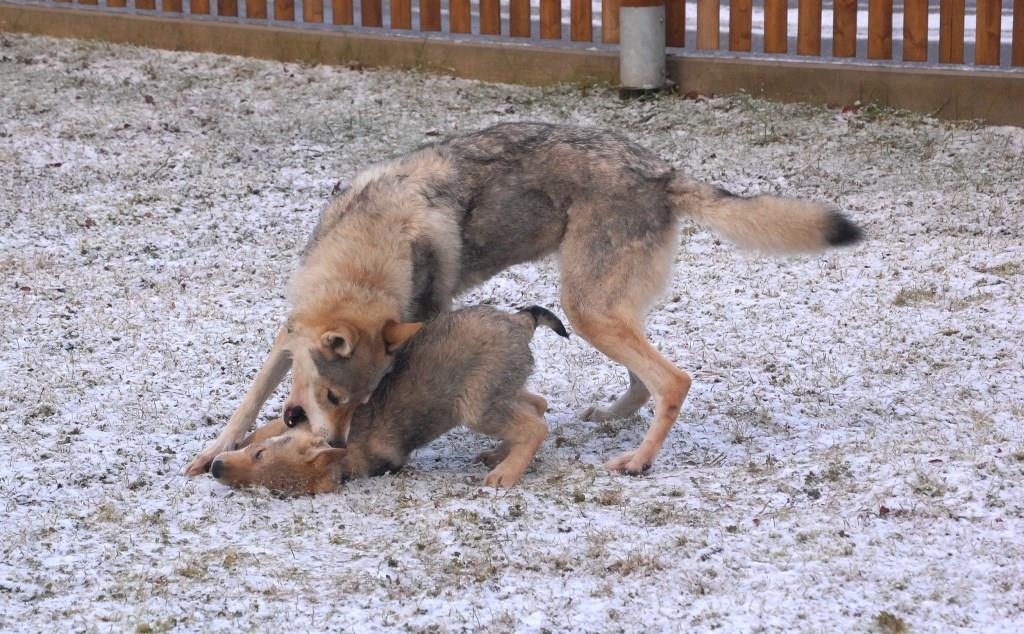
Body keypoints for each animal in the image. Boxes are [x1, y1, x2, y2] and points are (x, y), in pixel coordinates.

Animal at [203, 305, 565, 493]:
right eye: (256, 486)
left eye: (261, 459)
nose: (218, 469)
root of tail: (521, 321)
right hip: (501, 393)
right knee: (538, 405)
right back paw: (498, 454)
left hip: (476, 407)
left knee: (535, 426)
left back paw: (506, 472)